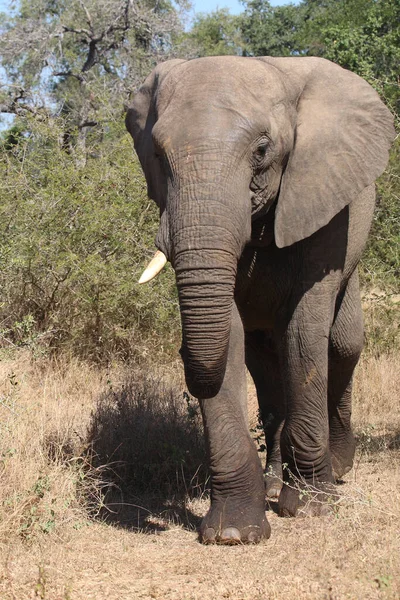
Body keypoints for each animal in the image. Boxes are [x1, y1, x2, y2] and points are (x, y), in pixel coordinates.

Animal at [126, 55, 394, 544]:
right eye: (156, 154)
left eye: (262, 150)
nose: (182, 357)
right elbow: (228, 336)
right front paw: (233, 533)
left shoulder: (323, 192)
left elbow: (305, 334)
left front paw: (311, 508)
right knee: (265, 363)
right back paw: (272, 480)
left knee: (342, 344)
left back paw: (338, 468)